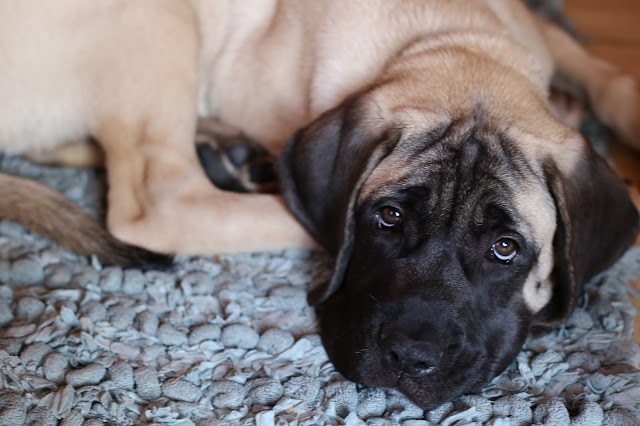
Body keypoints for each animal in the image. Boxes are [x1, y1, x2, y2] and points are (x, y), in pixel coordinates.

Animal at [0, 0, 636, 412]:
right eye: (388, 218)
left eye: (505, 249)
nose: (410, 357)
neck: (456, 39)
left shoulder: (537, 29)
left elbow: (597, 68)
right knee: (164, 199)